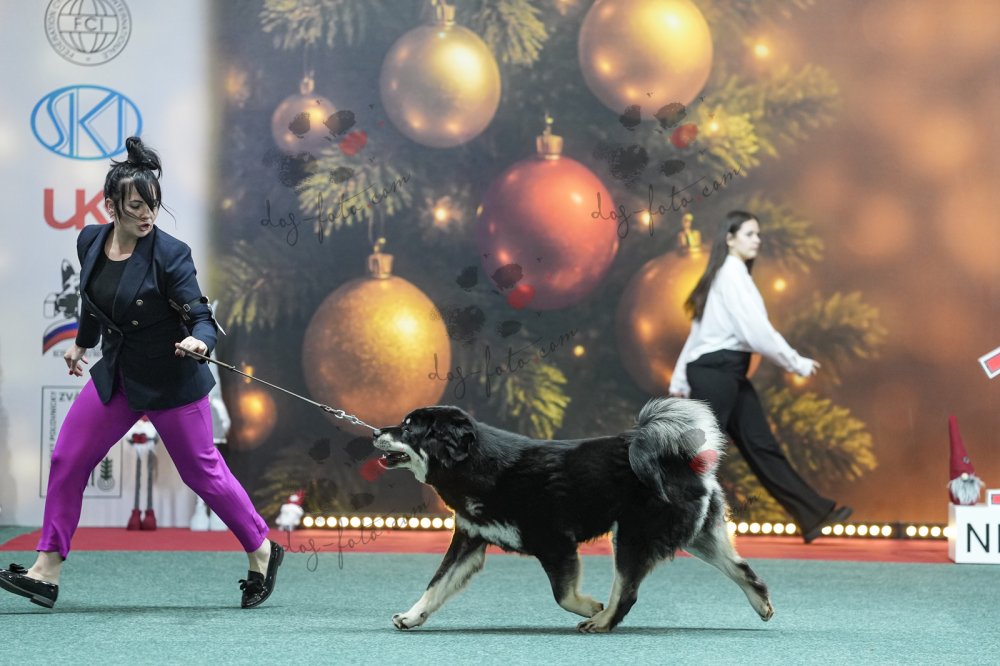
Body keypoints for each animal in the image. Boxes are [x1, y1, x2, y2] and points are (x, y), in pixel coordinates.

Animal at [373, 397, 774, 633]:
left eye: (408, 427)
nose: (376, 431)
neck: (481, 467)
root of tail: (680, 458)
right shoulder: (470, 541)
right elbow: (436, 585)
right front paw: (412, 615)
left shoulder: (555, 543)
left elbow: (562, 595)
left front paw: (590, 606)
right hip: (698, 536)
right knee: (745, 572)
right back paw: (762, 605)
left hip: (632, 537)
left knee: (627, 591)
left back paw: (602, 621)